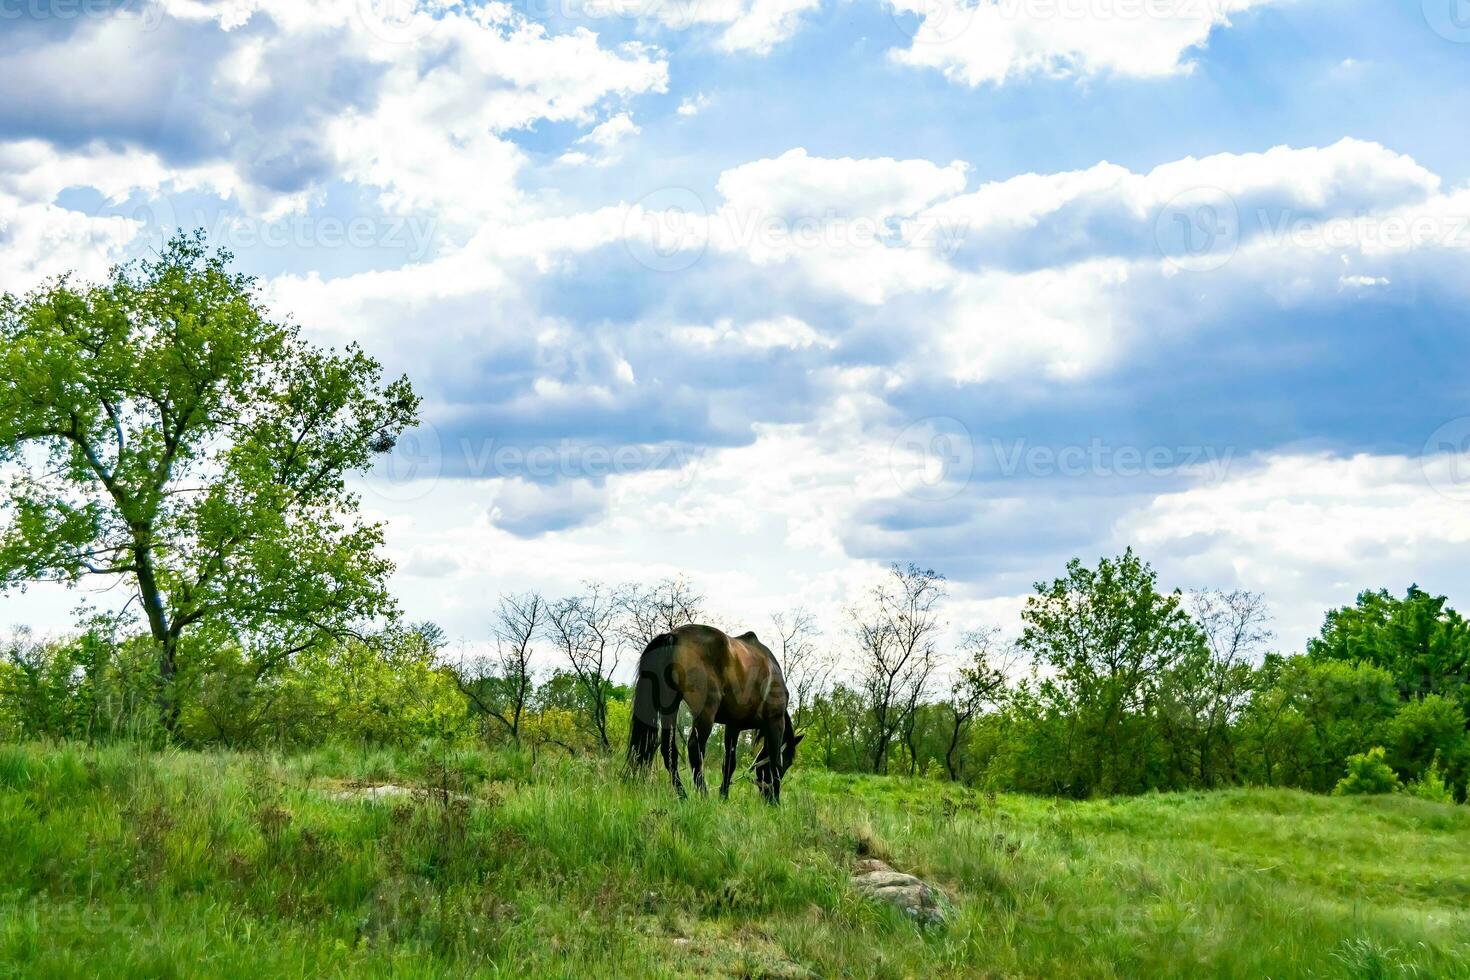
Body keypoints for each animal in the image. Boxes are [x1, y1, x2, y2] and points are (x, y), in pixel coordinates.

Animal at [623, 625, 799, 799]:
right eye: (788, 761)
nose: (767, 795)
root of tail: (673, 636)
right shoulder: (775, 721)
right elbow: (775, 762)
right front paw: (775, 800)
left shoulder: (733, 726)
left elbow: (729, 762)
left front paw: (723, 796)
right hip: (705, 713)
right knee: (695, 748)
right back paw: (703, 795)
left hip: (670, 705)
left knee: (668, 750)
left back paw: (683, 795)